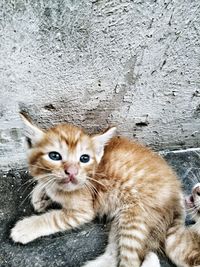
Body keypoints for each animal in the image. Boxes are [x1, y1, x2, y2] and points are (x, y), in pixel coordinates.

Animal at [10, 114, 200, 267]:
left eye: (84, 158)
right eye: (54, 156)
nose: (72, 172)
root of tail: (176, 192)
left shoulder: (82, 211)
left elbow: (54, 218)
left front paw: (26, 228)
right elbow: (45, 183)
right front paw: (40, 193)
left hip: (135, 220)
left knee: (131, 262)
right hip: (121, 221)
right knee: (114, 255)